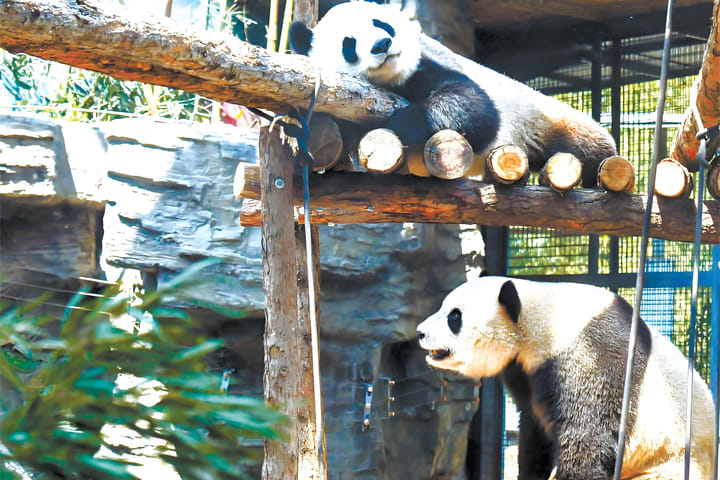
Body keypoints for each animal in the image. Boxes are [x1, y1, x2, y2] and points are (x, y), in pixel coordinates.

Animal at [289, 2, 617, 187]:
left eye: (381, 24)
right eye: (349, 43)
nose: (383, 44)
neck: (393, 81)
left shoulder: (429, 67)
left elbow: (477, 109)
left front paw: (403, 123)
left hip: (544, 119)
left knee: (587, 144)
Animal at [416, 276, 716, 480]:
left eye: (454, 316)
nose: (420, 332)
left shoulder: (588, 356)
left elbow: (588, 438)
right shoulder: (525, 374)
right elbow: (535, 431)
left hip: (668, 463)